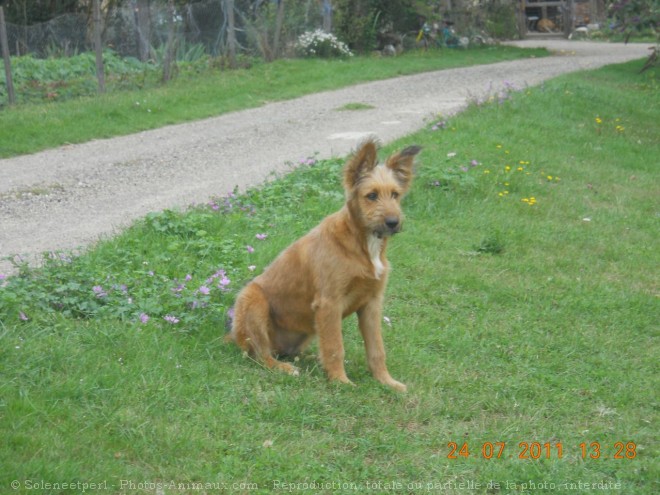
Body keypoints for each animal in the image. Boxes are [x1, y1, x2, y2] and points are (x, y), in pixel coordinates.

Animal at [228, 140, 422, 392]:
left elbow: (376, 349)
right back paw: (285, 368)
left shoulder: (372, 303)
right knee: (262, 355)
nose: (393, 222)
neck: (360, 244)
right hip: (253, 300)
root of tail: (234, 336)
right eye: (371, 195)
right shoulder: (329, 303)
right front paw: (341, 382)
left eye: (395, 195)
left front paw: (386, 381)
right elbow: (334, 347)